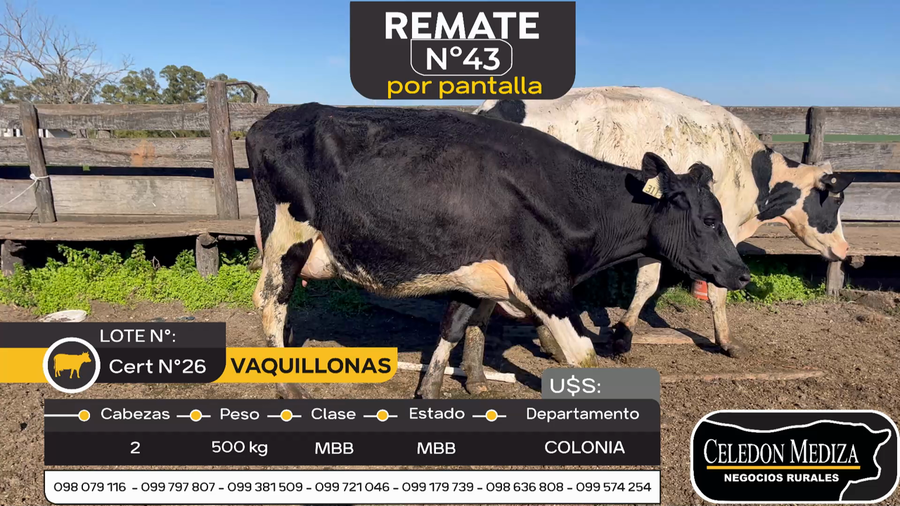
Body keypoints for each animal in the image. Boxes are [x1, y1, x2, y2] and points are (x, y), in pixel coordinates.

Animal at [247, 103, 750, 399]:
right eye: (710, 220)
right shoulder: (546, 286)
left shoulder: (476, 273)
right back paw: (288, 390)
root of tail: (268, 120)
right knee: (270, 301)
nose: (742, 273)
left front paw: (438, 388)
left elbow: (455, 326)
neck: (569, 196)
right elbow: (583, 355)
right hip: (287, 239)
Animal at [464, 87, 854, 379]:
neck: (748, 168)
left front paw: (621, 334)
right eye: (836, 199)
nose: (844, 249)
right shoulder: (715, 232)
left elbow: (648, 284)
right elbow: (712, 291)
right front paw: (723, 341)